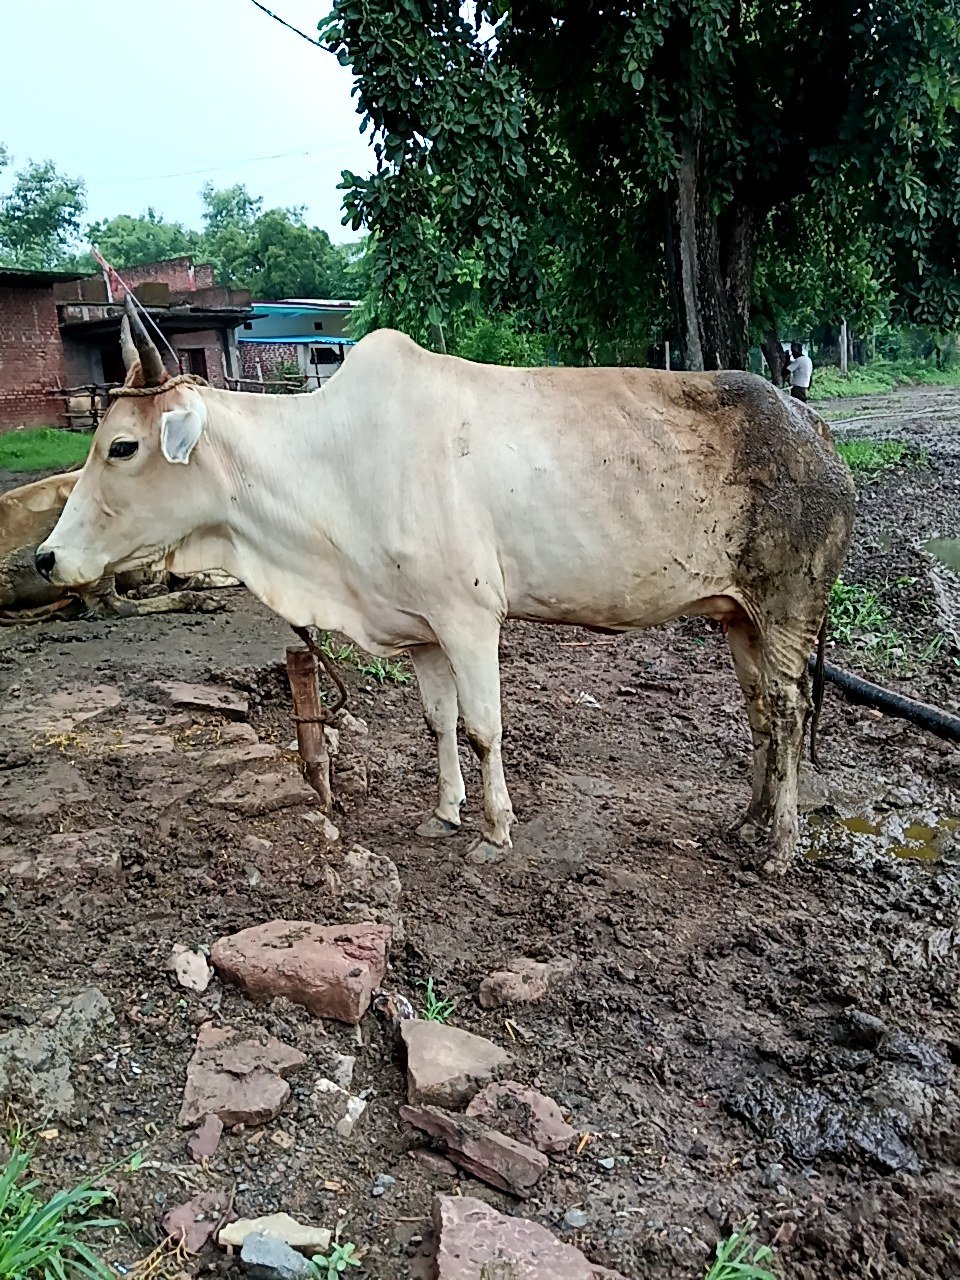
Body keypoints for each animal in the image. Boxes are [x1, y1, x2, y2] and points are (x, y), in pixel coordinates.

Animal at [38, 296, 855, 873]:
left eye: (122, 446)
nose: (46, 559)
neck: (329, 467)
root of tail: (812, 428)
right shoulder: (420, 629)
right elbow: (439, 721)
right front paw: (444, 810)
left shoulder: (470, 617)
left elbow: (484, 726)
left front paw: (494, 830)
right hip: (738, 614)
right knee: (759, 710)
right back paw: (747, 820)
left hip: (789, 607)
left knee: (788, 713)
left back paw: (780, 846)